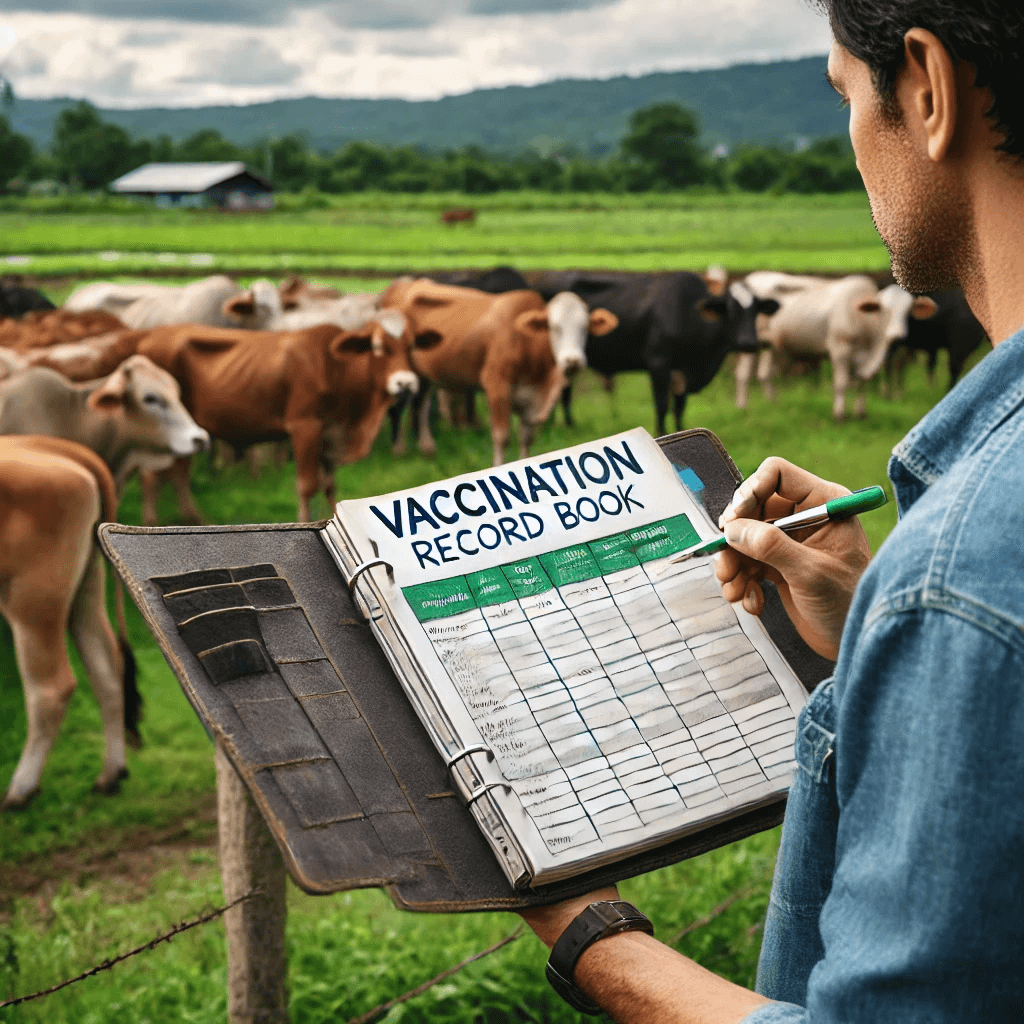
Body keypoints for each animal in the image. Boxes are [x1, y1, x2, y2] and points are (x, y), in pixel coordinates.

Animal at [0, 436, 140, 811]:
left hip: (34, 596)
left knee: (51, 688)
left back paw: (20, 790)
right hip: (86, 587)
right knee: (107, 668)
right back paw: (110, 775)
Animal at [138, 309, 417, 520]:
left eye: (411, 346)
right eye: (378, 346)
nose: (405, 383)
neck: (337, 367)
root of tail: (151, 336)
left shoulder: (330, 434)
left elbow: (329, 486)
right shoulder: (305, 426)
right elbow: (307, 486)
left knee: (176, 473)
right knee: (154, 475)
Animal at [528, 270, 774, 434]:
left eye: (756, 311)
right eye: (730, 310)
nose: (750, 342)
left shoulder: (681, 373)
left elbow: (679, 406)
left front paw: (682, 430)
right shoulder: (658, 364)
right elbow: (662, 405)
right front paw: (662, 433)